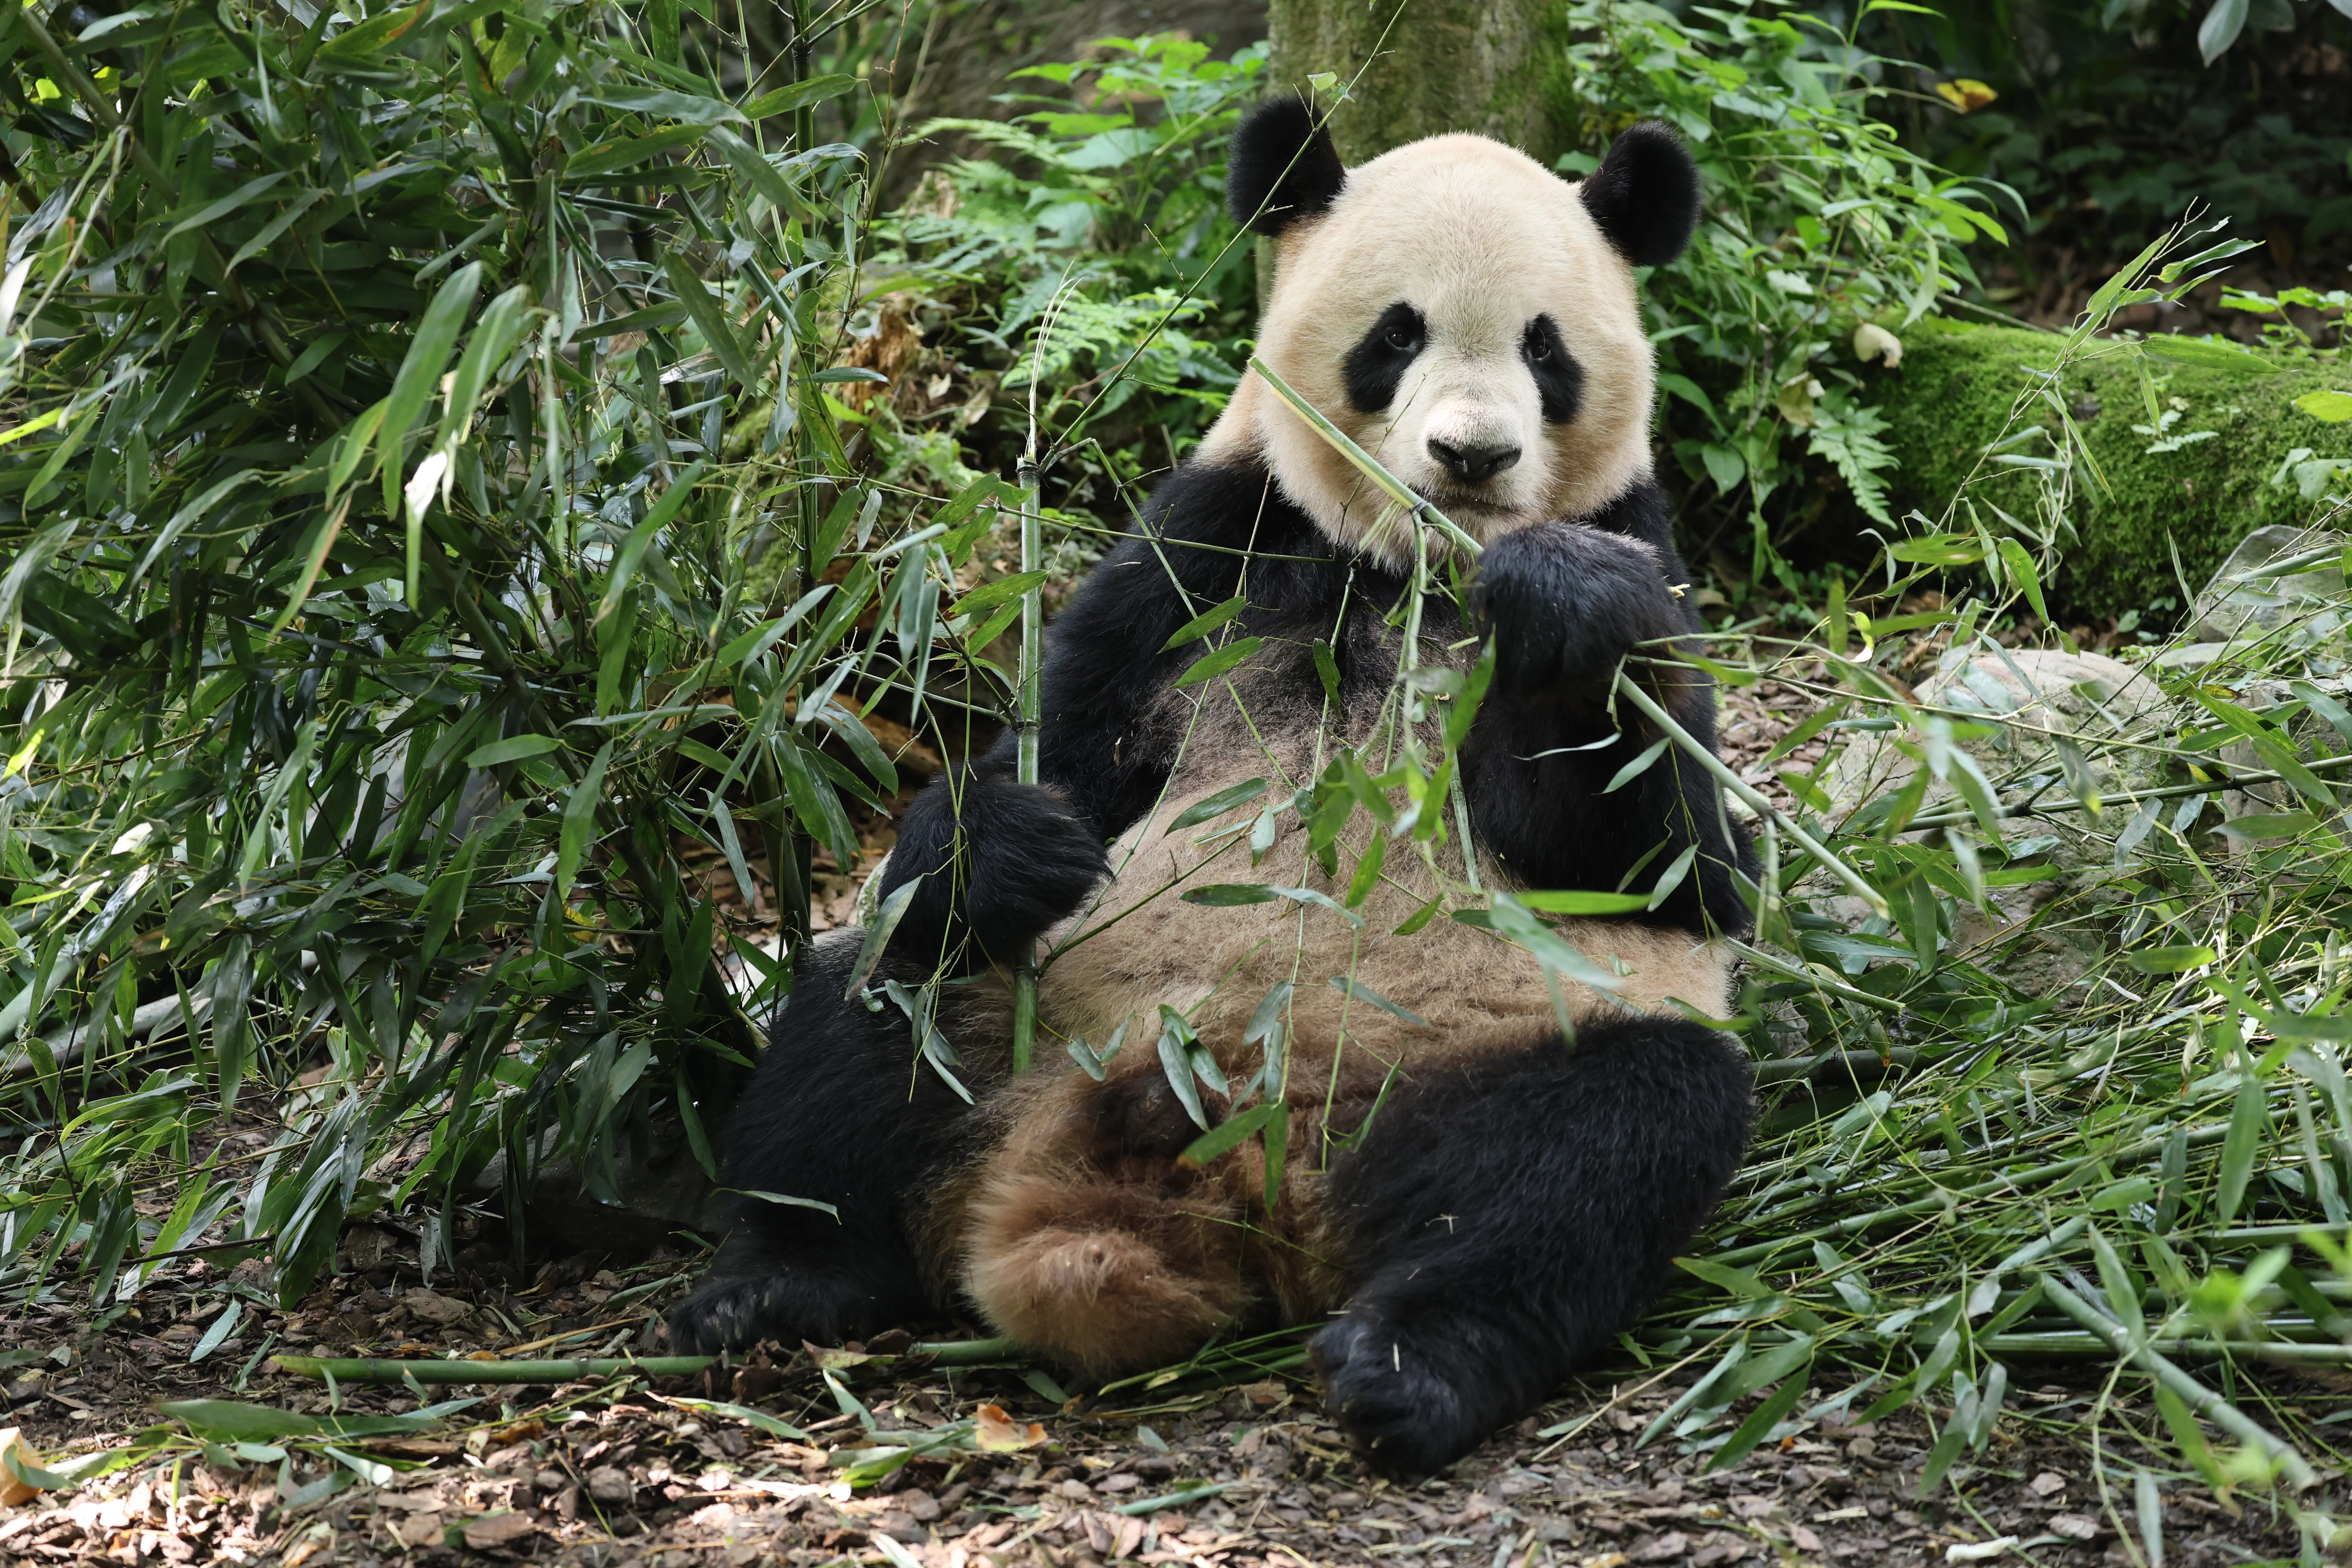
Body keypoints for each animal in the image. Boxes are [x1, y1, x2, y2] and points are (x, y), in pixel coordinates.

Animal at [671, 100, 1758, 1479]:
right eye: (1395, 335)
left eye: (1545, 348)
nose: (1473, 454)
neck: (1413, 567)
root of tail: (1228, 1172)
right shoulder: (1213, 542)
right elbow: (1062, 752)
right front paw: (1018, 835)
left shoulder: (1648, 562)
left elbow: (1676, 869)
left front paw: (1557, 607)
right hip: (1026, 1022)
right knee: (875, 999)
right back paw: (772, 1284)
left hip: (1478, 1054)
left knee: (1600, 1150)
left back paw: (1411, 1364)